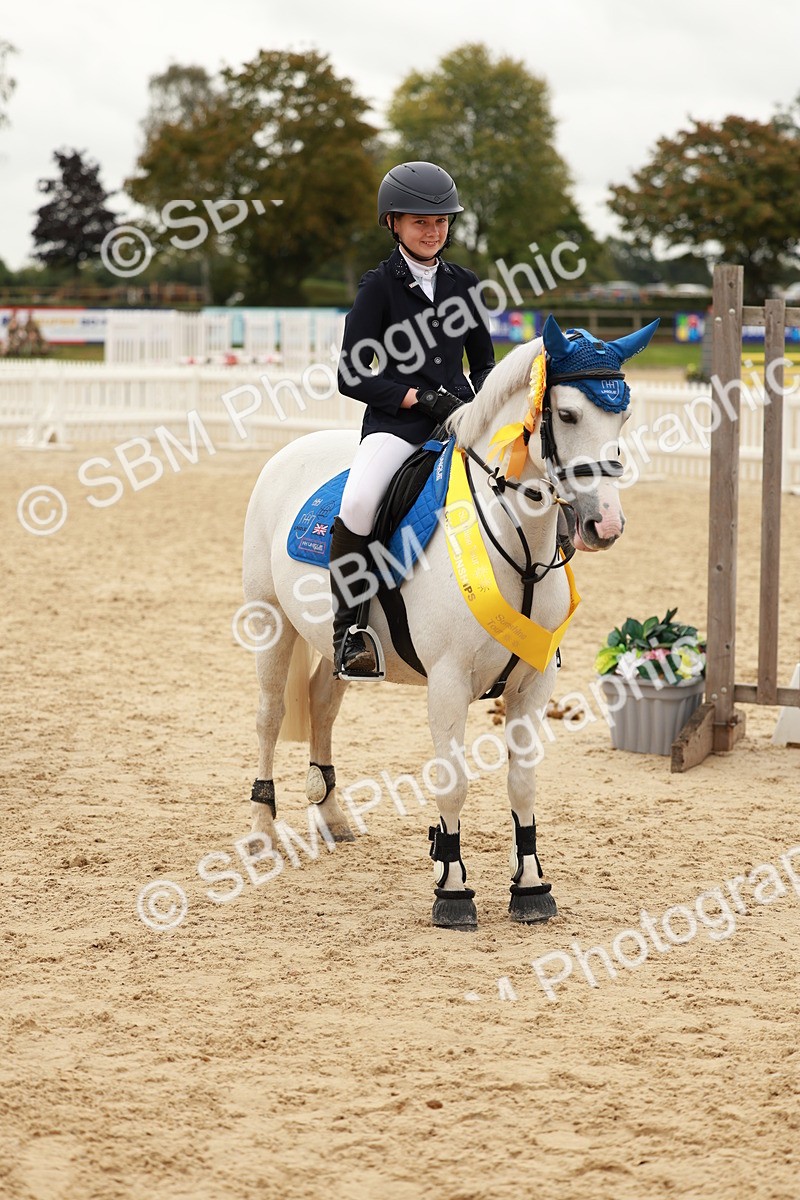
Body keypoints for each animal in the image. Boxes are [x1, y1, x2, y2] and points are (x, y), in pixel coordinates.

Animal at [241, 315, 659, 928]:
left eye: (623, 416)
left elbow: (523, 783)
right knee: (269, 716)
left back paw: (333, 816)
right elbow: (453, 784)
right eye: (566, 415)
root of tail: (289, 450)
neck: (517, 544)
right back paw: (261, 832)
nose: (604, 525)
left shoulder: (535, 682)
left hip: (335, 642)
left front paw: (530, 886)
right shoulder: (447, 682)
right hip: (271, 621)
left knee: (322, 701)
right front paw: (453, 890)